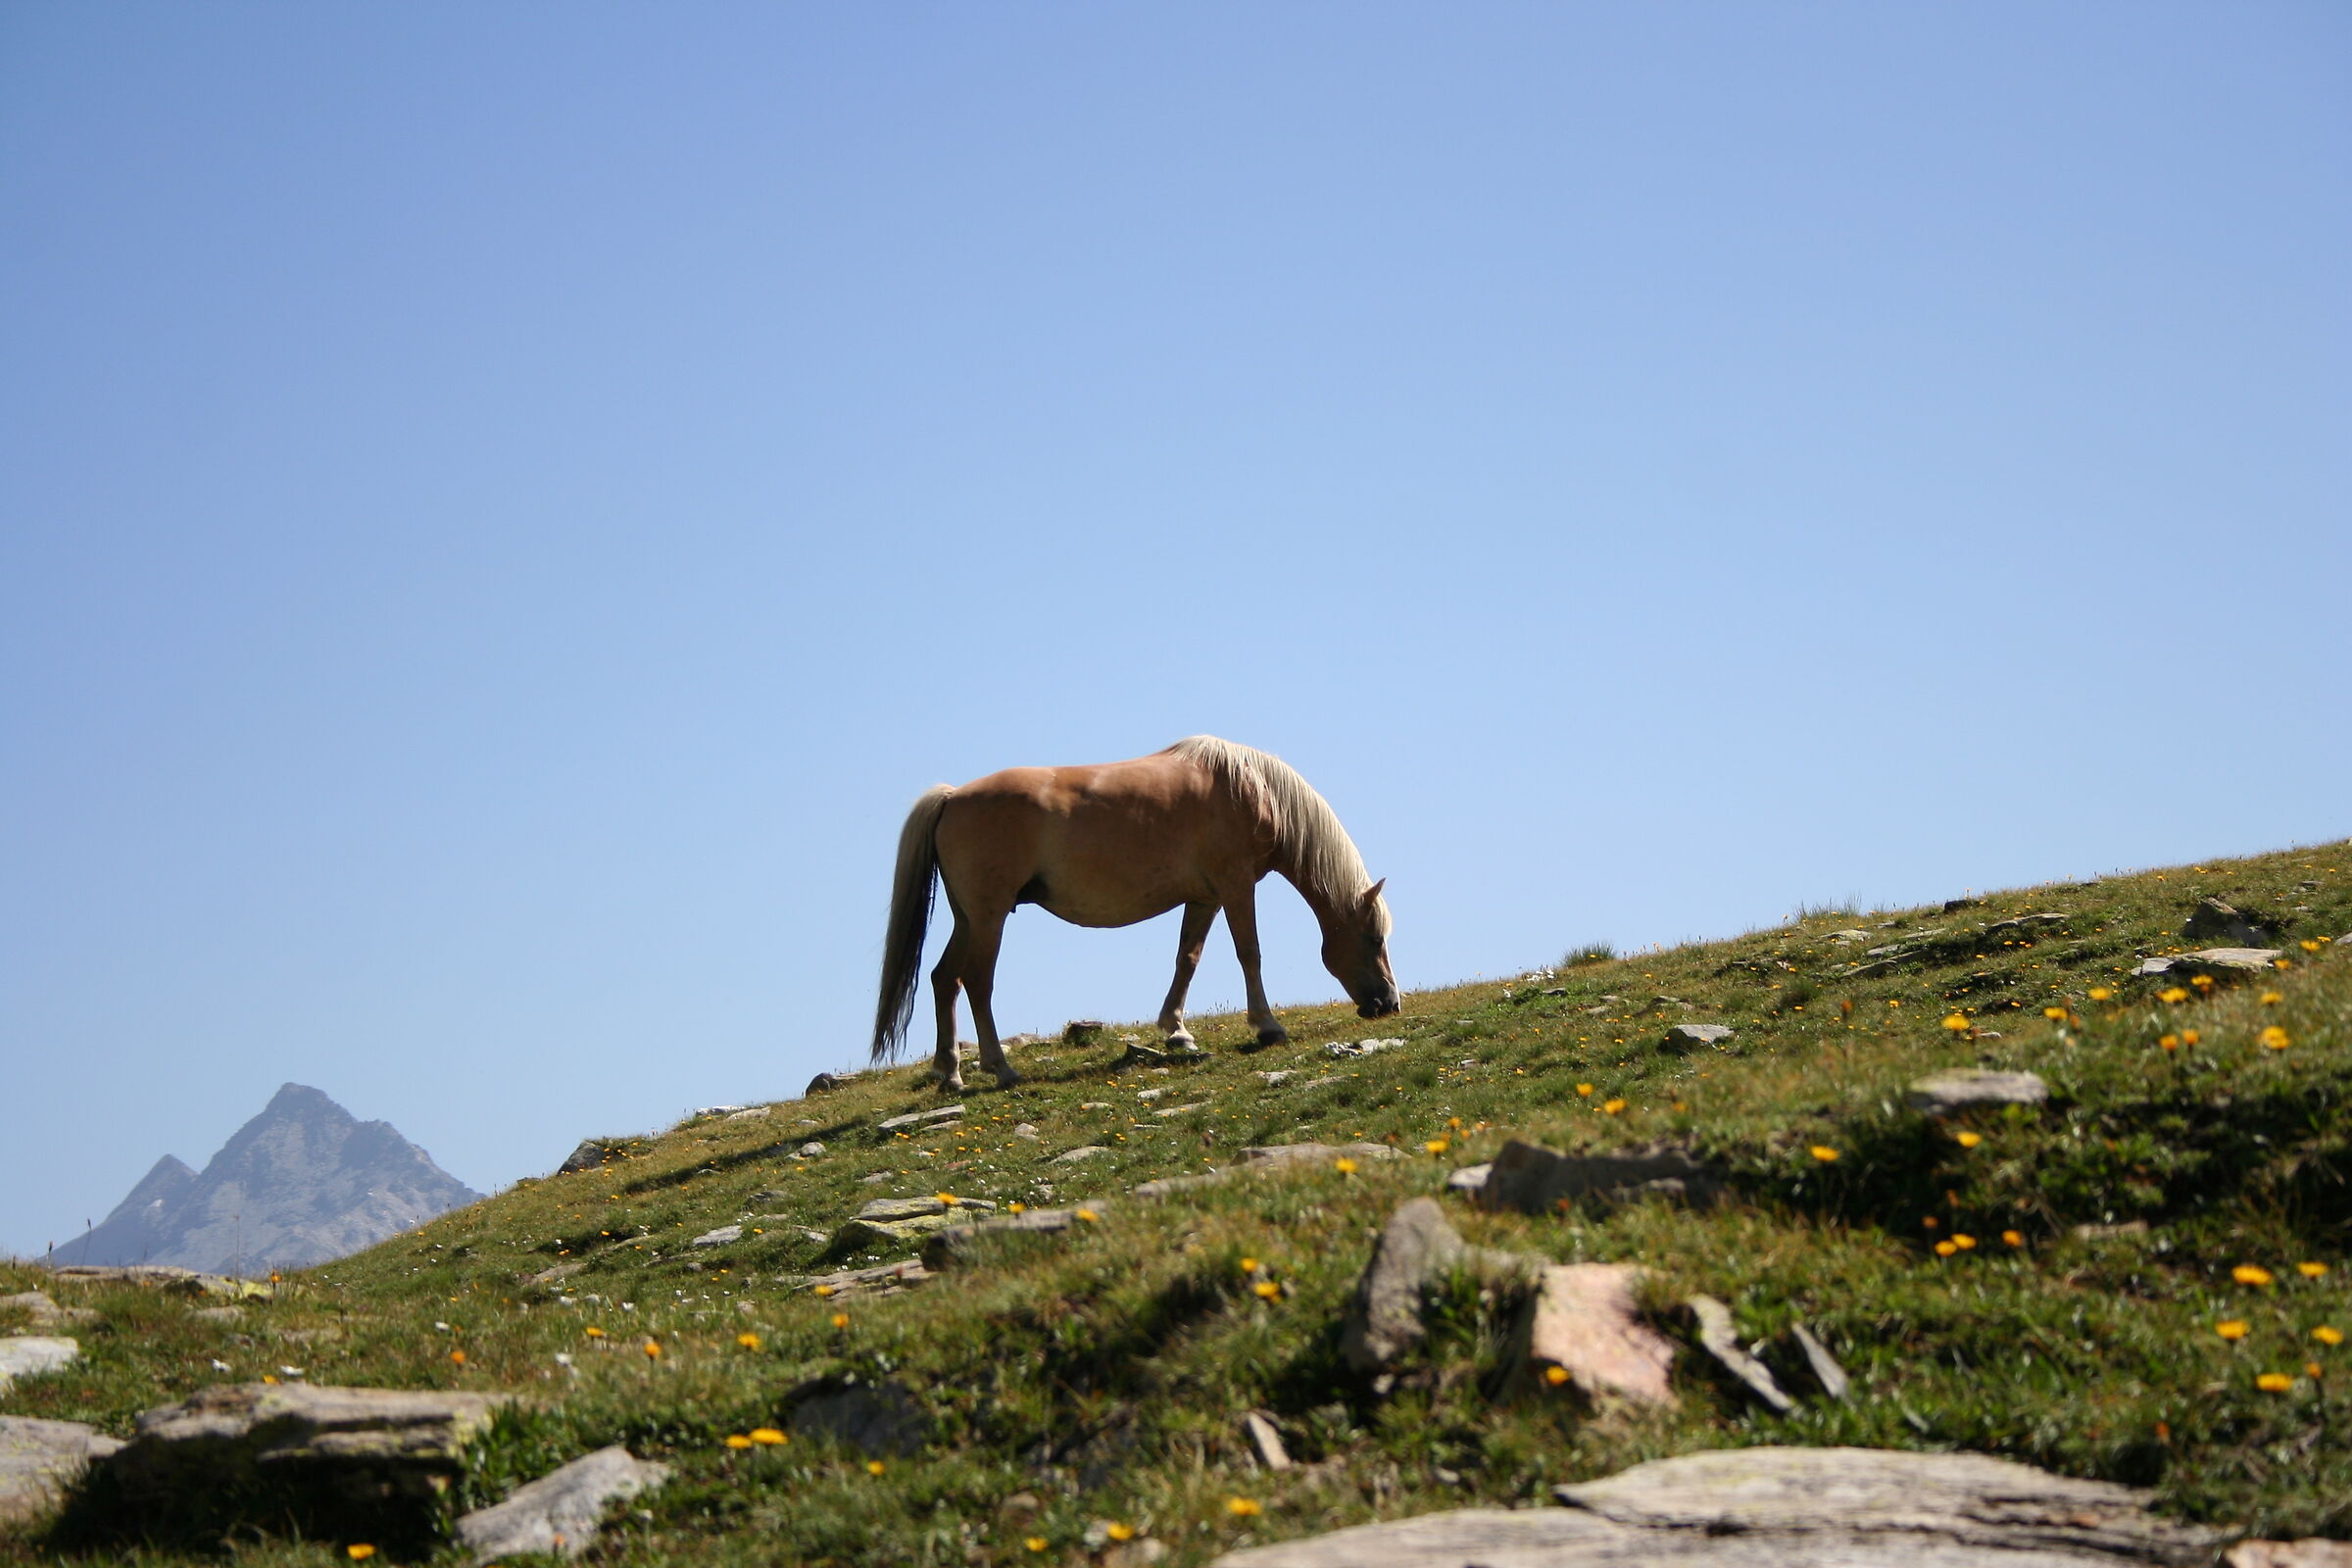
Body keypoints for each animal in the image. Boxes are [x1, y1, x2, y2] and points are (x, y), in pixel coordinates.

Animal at [870, 736, 1400, 1091]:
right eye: (1374, 939)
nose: (1389, 1004)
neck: (1251, 787)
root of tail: (953, 796)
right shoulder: (1236, 886)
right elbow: (1249, 953)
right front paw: (1267, 1026)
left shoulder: (1204, 897)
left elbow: (1188, 958)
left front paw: (1177, 1031)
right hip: (989, 919)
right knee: (978, 983)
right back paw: (1000, 1068)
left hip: (969, 919)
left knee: (945, 978)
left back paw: (951, 1073)